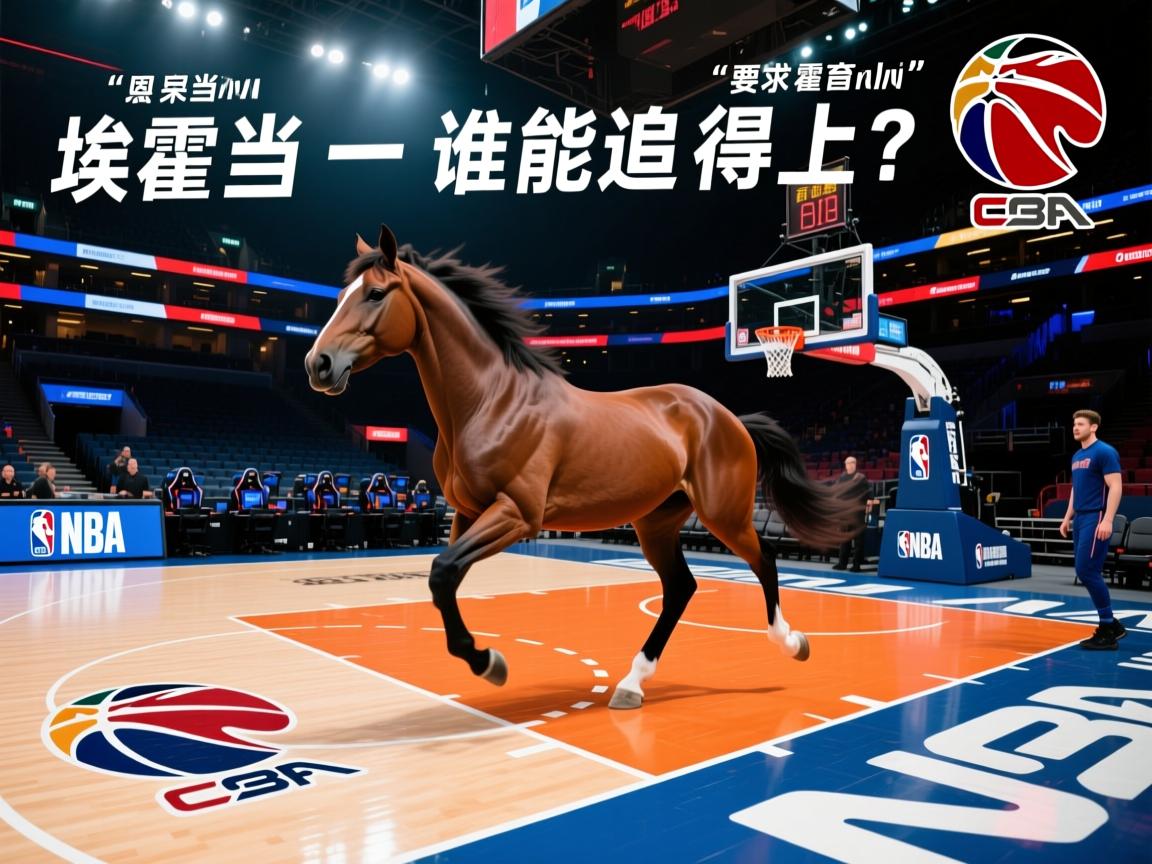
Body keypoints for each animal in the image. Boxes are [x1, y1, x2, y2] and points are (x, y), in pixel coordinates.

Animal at [305, 225, 861, 709]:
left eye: (376, 294)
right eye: (341, 295)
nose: (319, 364)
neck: (493, 400)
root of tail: (728, 416)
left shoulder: (517, 514)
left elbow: (442, 573)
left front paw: (490, 663)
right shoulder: (467, 514)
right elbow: (445, 581)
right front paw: (484, 660)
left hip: (724, 514)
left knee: (764, 559)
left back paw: (791, 642)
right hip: (656, 522)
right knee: (680, 588)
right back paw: (632, 683)